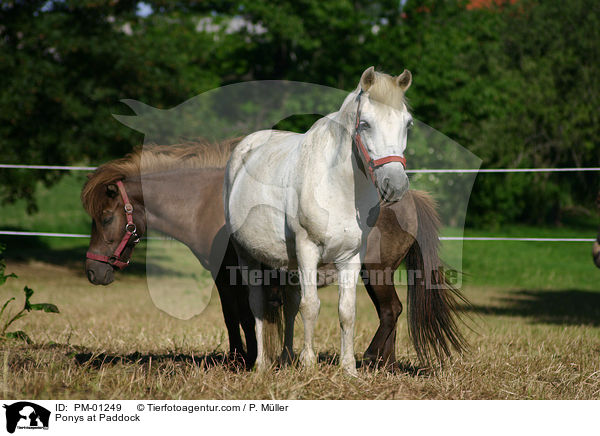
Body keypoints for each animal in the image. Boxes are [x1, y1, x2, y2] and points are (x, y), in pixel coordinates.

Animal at [81, 139, 464, 368]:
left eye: (105, 218)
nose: (93, 271)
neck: (210, 203)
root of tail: (410, 198)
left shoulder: (229, 277)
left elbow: (237, 316)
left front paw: (244, 358)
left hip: (375, 272)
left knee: (390, 311)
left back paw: (368, 358)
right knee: (392, 312)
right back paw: (382, 364)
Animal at [225, 67, 412, 374]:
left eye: (407, 124)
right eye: (365, 124)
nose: (394, 185)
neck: (338, 186)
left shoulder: (351, 257)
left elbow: (346, 311)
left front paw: (349, 369)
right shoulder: (308, 249)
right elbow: (310, 307)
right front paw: (309, 365)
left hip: (287, 263)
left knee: (289, 304)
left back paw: (286, 359)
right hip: (248, 256)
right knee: (258, 305)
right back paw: (262, 365)